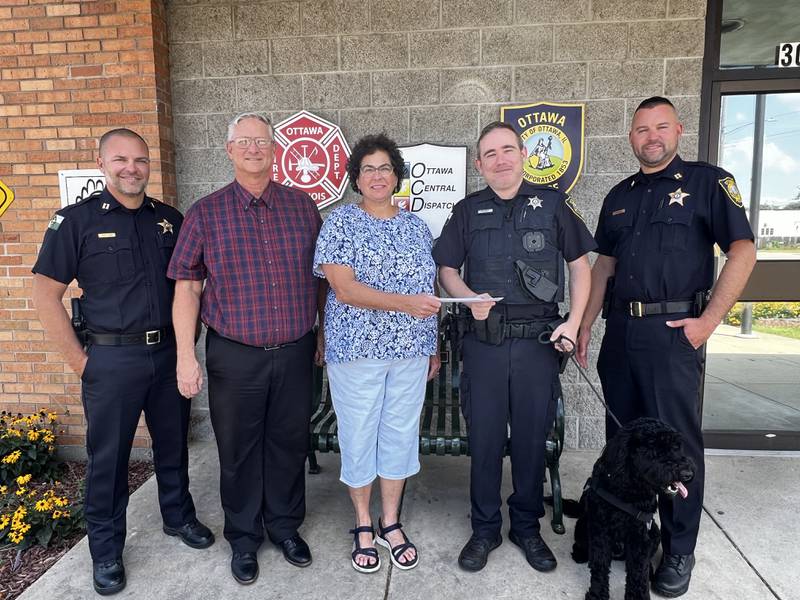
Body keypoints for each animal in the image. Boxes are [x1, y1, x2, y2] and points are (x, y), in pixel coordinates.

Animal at [568, 418, 692, 600]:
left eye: (676, 446)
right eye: (655, 449)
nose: (687, 474)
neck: (629, 492)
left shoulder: (640, 536)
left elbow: (638, 572)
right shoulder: (601, 532)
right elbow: (599, 565)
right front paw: (597, 594)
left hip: (655, 532)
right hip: (584, 524)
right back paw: (580, 553)